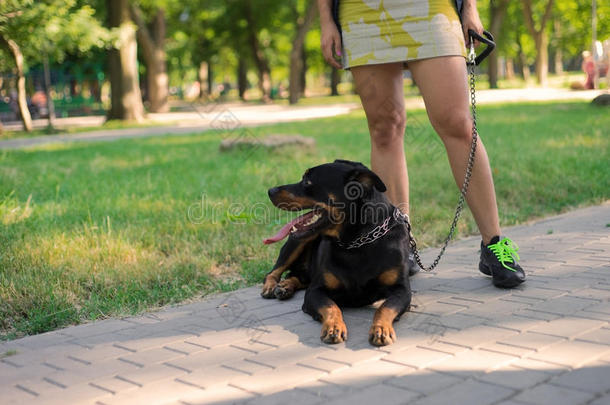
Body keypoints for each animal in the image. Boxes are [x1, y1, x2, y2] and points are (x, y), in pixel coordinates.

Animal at [258, 159, 410, 346]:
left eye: (307, 181)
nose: (270, 191)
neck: (356, 242)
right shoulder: (316, 290)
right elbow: (331, 306)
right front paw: (333, 327)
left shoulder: (402, 290)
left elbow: (385, 307)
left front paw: (381, 329)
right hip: (296, 242)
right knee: (275, 271)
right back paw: (272, 286)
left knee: (299, 276)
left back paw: (285, 286)